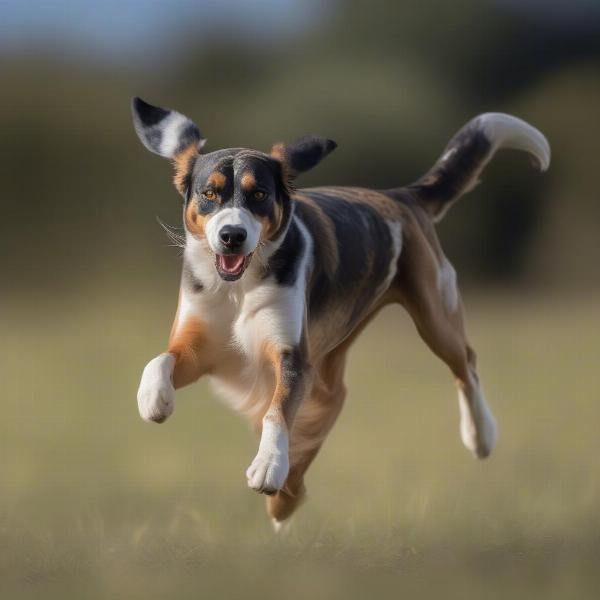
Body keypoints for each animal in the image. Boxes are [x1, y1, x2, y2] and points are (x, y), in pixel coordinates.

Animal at [134, 98, 552, 528]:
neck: (238, 289)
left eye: (260, 193)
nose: (232, 235)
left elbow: (276, 411)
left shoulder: (292, 357)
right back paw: (286, 500)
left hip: (435, 309)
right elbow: (160, 360)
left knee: (465, 362)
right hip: (335, 353)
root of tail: (402, 196)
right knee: (332, 400)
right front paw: (154, 400)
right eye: (210, 193)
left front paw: (268, 467)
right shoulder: (201, 344)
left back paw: (480, 434)